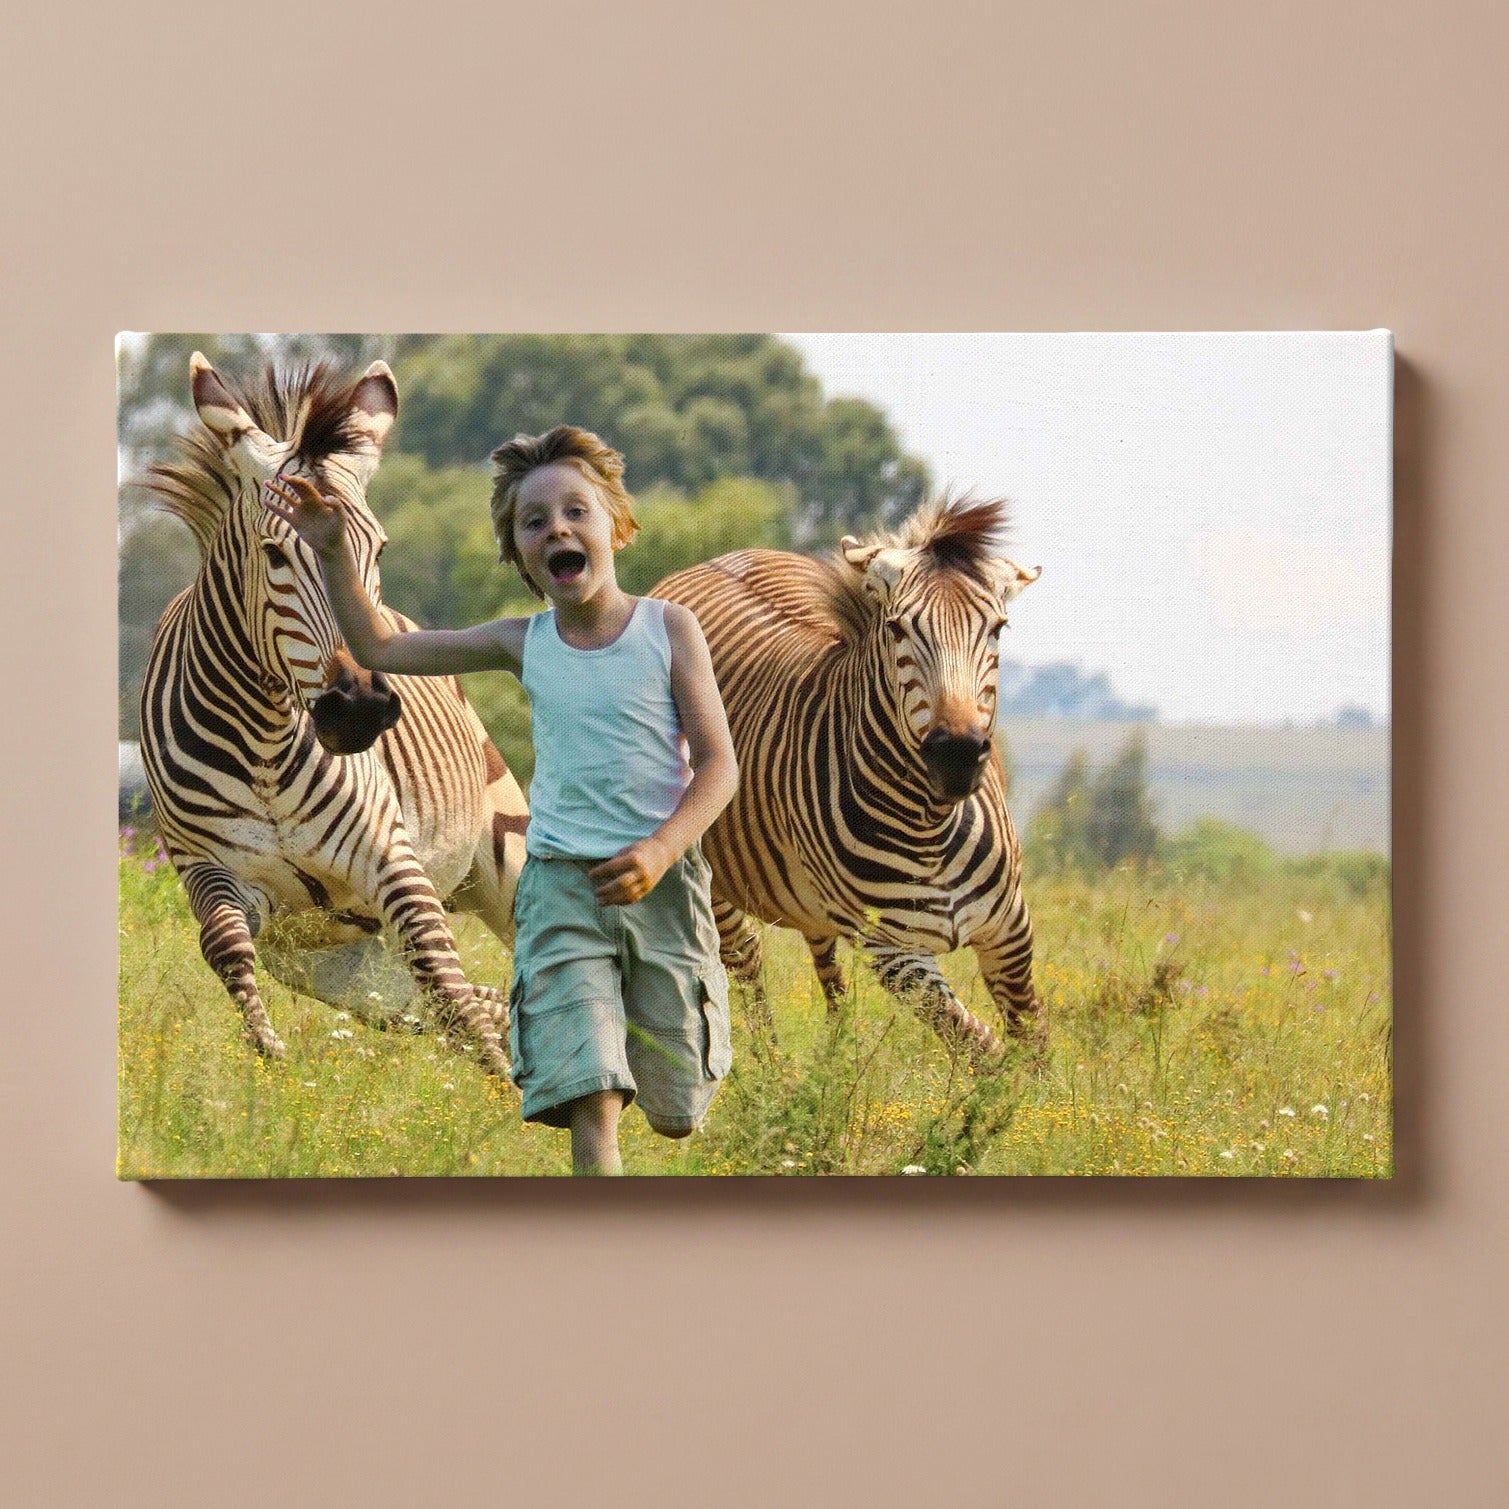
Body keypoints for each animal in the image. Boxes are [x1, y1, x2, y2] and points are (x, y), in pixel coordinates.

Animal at [138, 354, 528, 1075]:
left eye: (378, 549)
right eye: (273, 553)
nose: (362, 709)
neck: (262, 740)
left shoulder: (390, 857)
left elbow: (445, 977)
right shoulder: (209, 869)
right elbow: (225, 946)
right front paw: (269, 1058)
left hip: (501, 855)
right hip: (335, 964)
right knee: (475, 998)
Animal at [653, 495, 1042, 1060]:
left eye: (997, 629)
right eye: (898, 629)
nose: (958, 756)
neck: (931, 824)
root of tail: (709, 562)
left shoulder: (1010, 928)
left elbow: (1032, 1045)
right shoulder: (895, 952)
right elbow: (983, 1049)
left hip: (810, 897)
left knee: (824, 963)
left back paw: (836, 1063)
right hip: (710, 874)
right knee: (745, 959)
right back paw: (777, 1072)